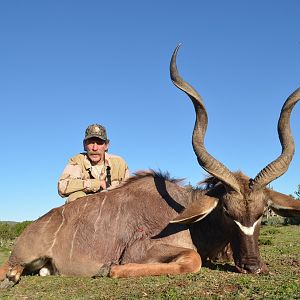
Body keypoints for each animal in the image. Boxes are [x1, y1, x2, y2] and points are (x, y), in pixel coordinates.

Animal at [0, 45, 300, 288]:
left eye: (262, 213)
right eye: (227, 212)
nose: (253, 267)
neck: (187, 215)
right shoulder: (142, 249)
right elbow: (192, 259)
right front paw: (110, 269)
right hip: (23, 257)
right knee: (9, 267)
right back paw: (11, 278)